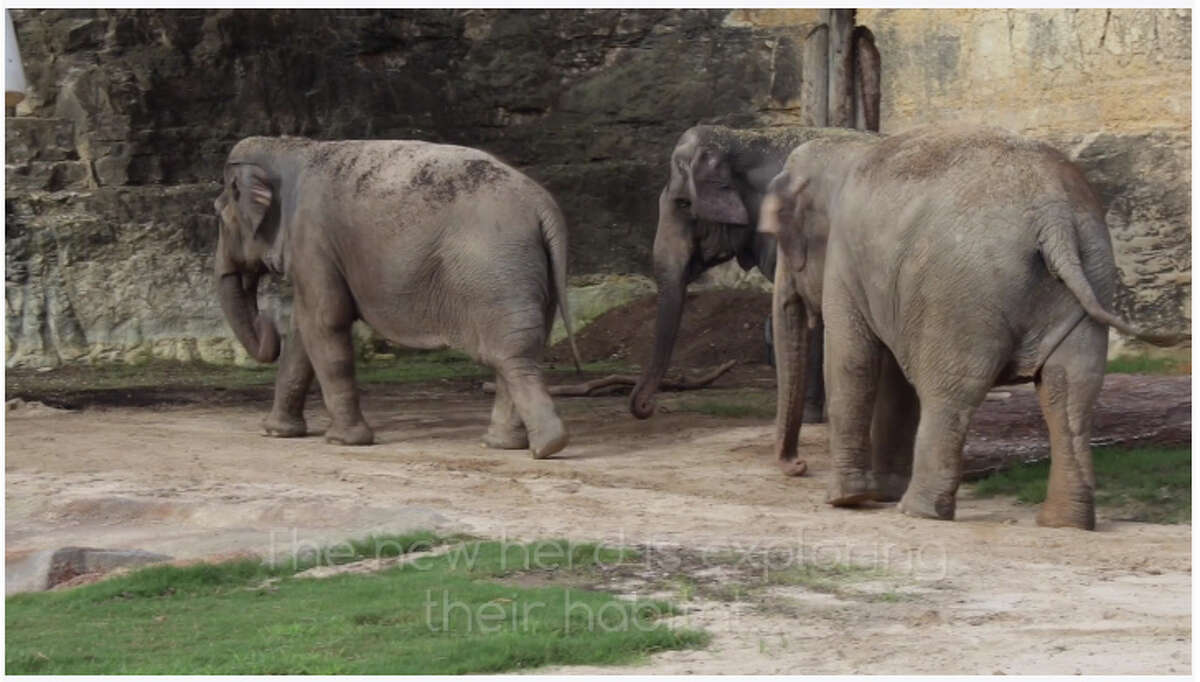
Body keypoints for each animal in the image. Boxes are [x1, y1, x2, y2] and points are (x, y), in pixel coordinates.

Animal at [214, 135, 580, 458]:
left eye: (219, 215)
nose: (266, 321)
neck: (291, 147)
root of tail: (544, 207)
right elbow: (303, 330)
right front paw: (276, 432)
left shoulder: (312, 239)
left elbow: (325, 321)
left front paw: (344, 441)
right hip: (534, 273)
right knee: (521, 351)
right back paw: (504, 444)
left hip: (496, 273)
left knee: (509, 353)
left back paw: (545, 446)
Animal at [758, 125, 1180, 530]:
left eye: (779, 236)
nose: (798, 466)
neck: (849, 143)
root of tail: (1054, 217)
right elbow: (892, 375)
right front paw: (880, 494)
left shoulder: (845, 261)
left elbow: (852, 362)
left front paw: (847, 500)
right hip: (1090, 273)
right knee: (1071, 390)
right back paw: (1064, 523)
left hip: (961, 295)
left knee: (951, 392)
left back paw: (919, 511)